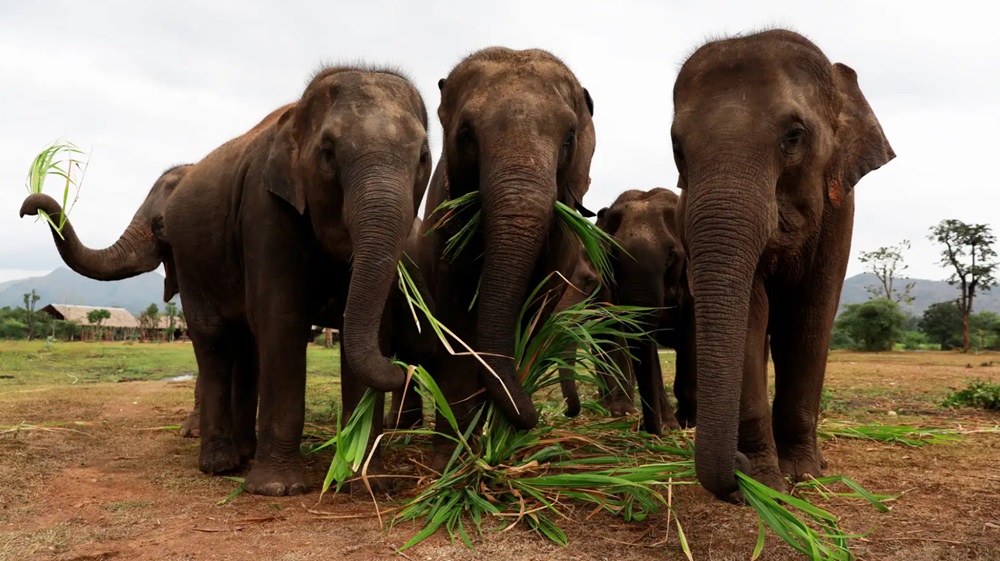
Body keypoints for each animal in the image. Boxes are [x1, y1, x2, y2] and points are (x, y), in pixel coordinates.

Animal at [162, 65, 432, 494]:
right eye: (327, 152)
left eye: (423, 157)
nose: (405, 369)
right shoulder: (264, 208)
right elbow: (282, 322)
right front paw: (277, 488)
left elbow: (372, 329)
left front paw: (366, 483)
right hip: (189, 260)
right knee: (214, 341)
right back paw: (220, 464)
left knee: (243, 343)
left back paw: (243, 454)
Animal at [412, 46, 592, 458]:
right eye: (466, 135)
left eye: (569, 138)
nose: (539, 418)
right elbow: (456, 323)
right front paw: (451, 459)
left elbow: (535, 313)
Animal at [668, 28, 896, 498]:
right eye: (677, 147)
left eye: (794, 136)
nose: (737, 473)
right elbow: (752, 316)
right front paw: (767, 483)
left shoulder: (840, 212)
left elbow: (809, 316)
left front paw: (805, 475)